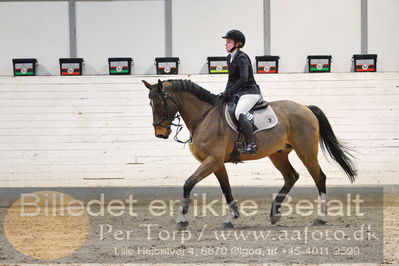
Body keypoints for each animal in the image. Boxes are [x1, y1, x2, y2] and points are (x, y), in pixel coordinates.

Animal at [142, 78, 358, 229]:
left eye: (159, 104)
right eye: (150, 104)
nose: (160, 133)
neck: (204, 116)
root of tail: (305, 107)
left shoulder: (212, 161)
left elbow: (188, 183)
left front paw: (181, 219)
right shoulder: (216, 164)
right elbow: (226, 189)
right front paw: (231, 218)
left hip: (306, 152)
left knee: (319, 177)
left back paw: (320, 218)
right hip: (277, 154)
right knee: (291, 176)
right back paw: (274, 213)